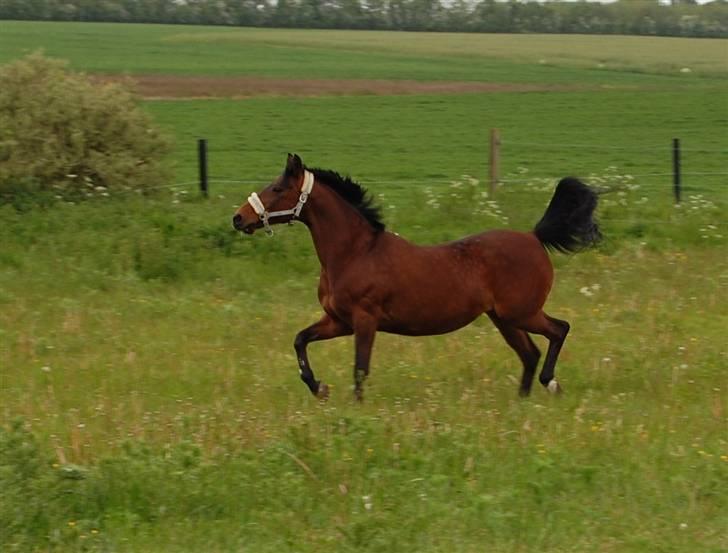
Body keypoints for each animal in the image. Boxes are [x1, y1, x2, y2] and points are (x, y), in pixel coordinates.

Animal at [232, 153, 596, 398]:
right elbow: (300, 339)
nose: (238, 218)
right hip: (504, 318)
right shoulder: (339, 321)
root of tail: (535, 237)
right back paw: (521, 401)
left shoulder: (364, 321)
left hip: (521, 313)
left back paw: (551, 383)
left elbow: (360, 369)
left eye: (278, 188)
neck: (355, 253)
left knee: (559, 330)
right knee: (530, 353)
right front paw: (318, 387)